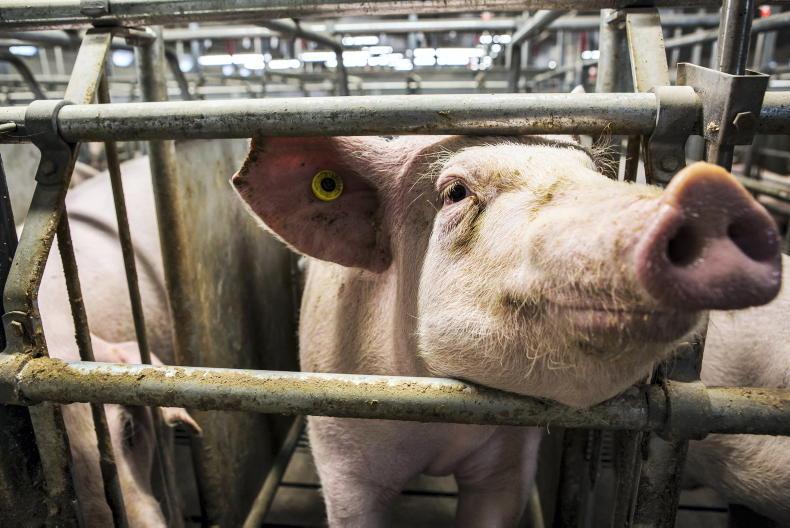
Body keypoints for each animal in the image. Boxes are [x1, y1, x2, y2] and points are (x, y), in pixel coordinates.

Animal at [231, 134, 784, 526]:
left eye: (591, 175)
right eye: (455, 191)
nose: (707, 189)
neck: (439, 428)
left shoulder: (510, 462)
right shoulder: (340, 453)